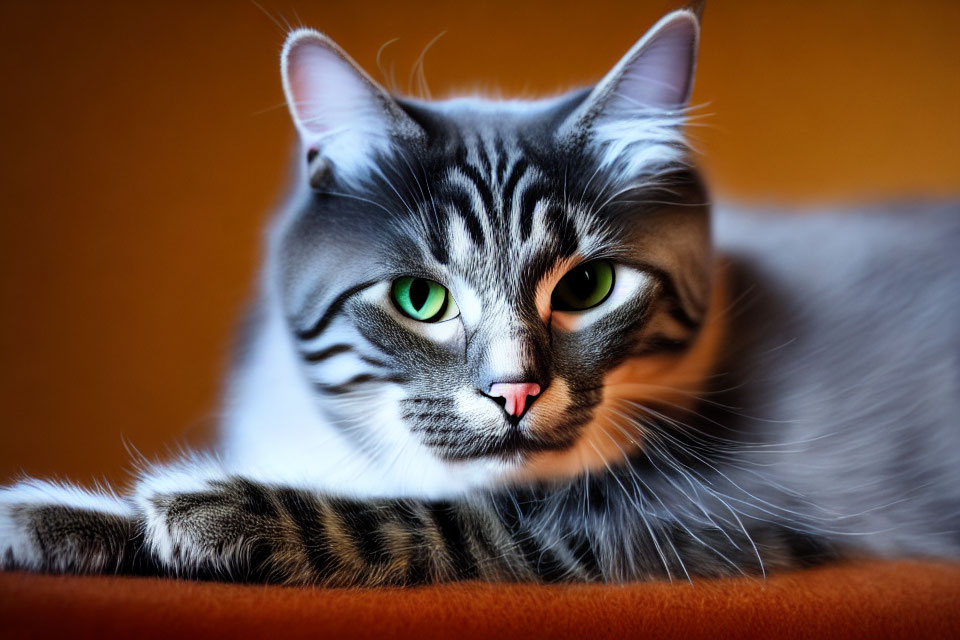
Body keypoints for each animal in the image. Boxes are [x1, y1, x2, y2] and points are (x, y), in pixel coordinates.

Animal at [1, 8, 960, 584]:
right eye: (419, 300)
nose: (516, 391)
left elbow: (438, 523)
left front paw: (204, 510)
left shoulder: (700, 513)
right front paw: (56, 518)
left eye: (588, 286)